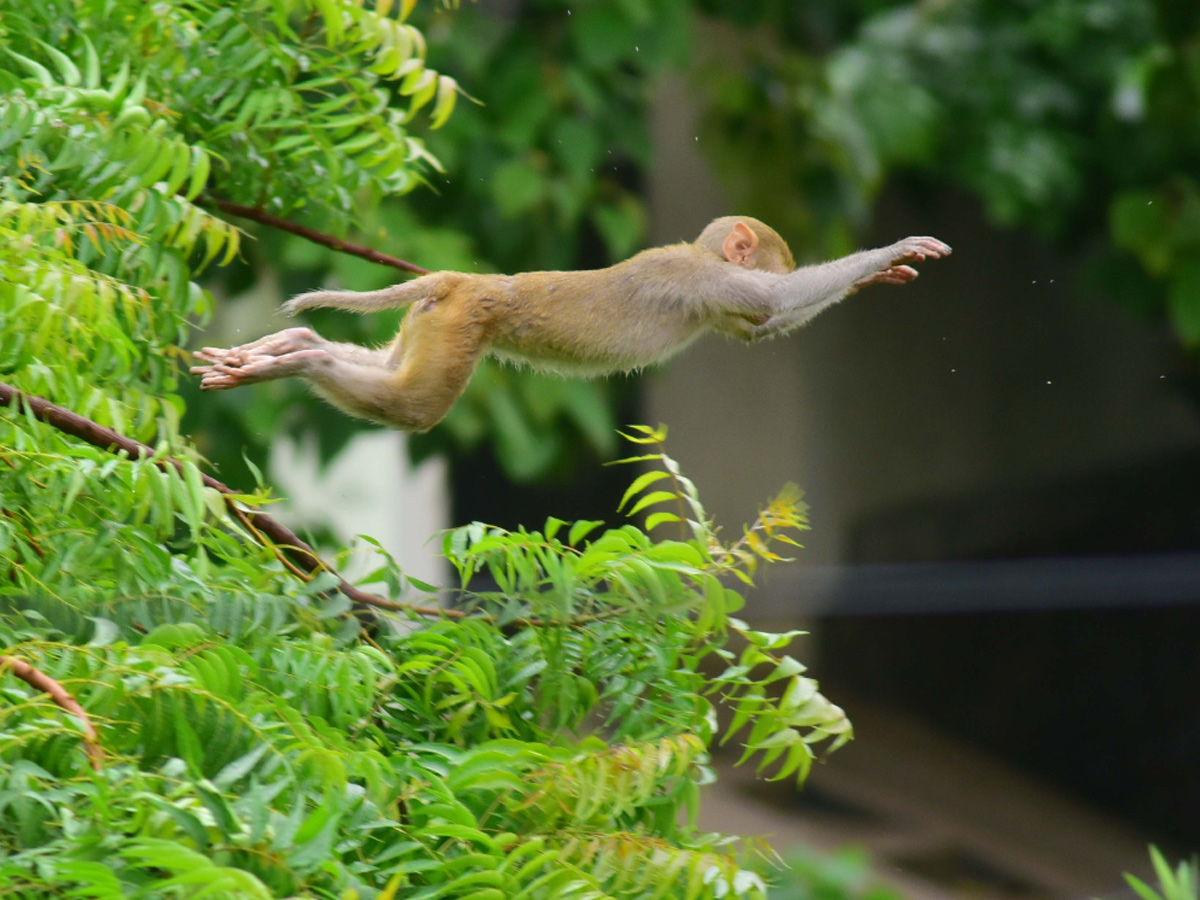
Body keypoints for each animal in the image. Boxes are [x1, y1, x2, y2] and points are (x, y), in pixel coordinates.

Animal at [192, 214, 950, 434]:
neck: (697, 253)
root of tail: (463, 280)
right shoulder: (706, 282)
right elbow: (775, 303)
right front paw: (891, 254)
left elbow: (760, 327)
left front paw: (881, 272)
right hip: (463, 324)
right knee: (415, 406)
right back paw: (300, 359)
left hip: (434, 322)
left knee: (390, 372)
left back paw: (293, 346)